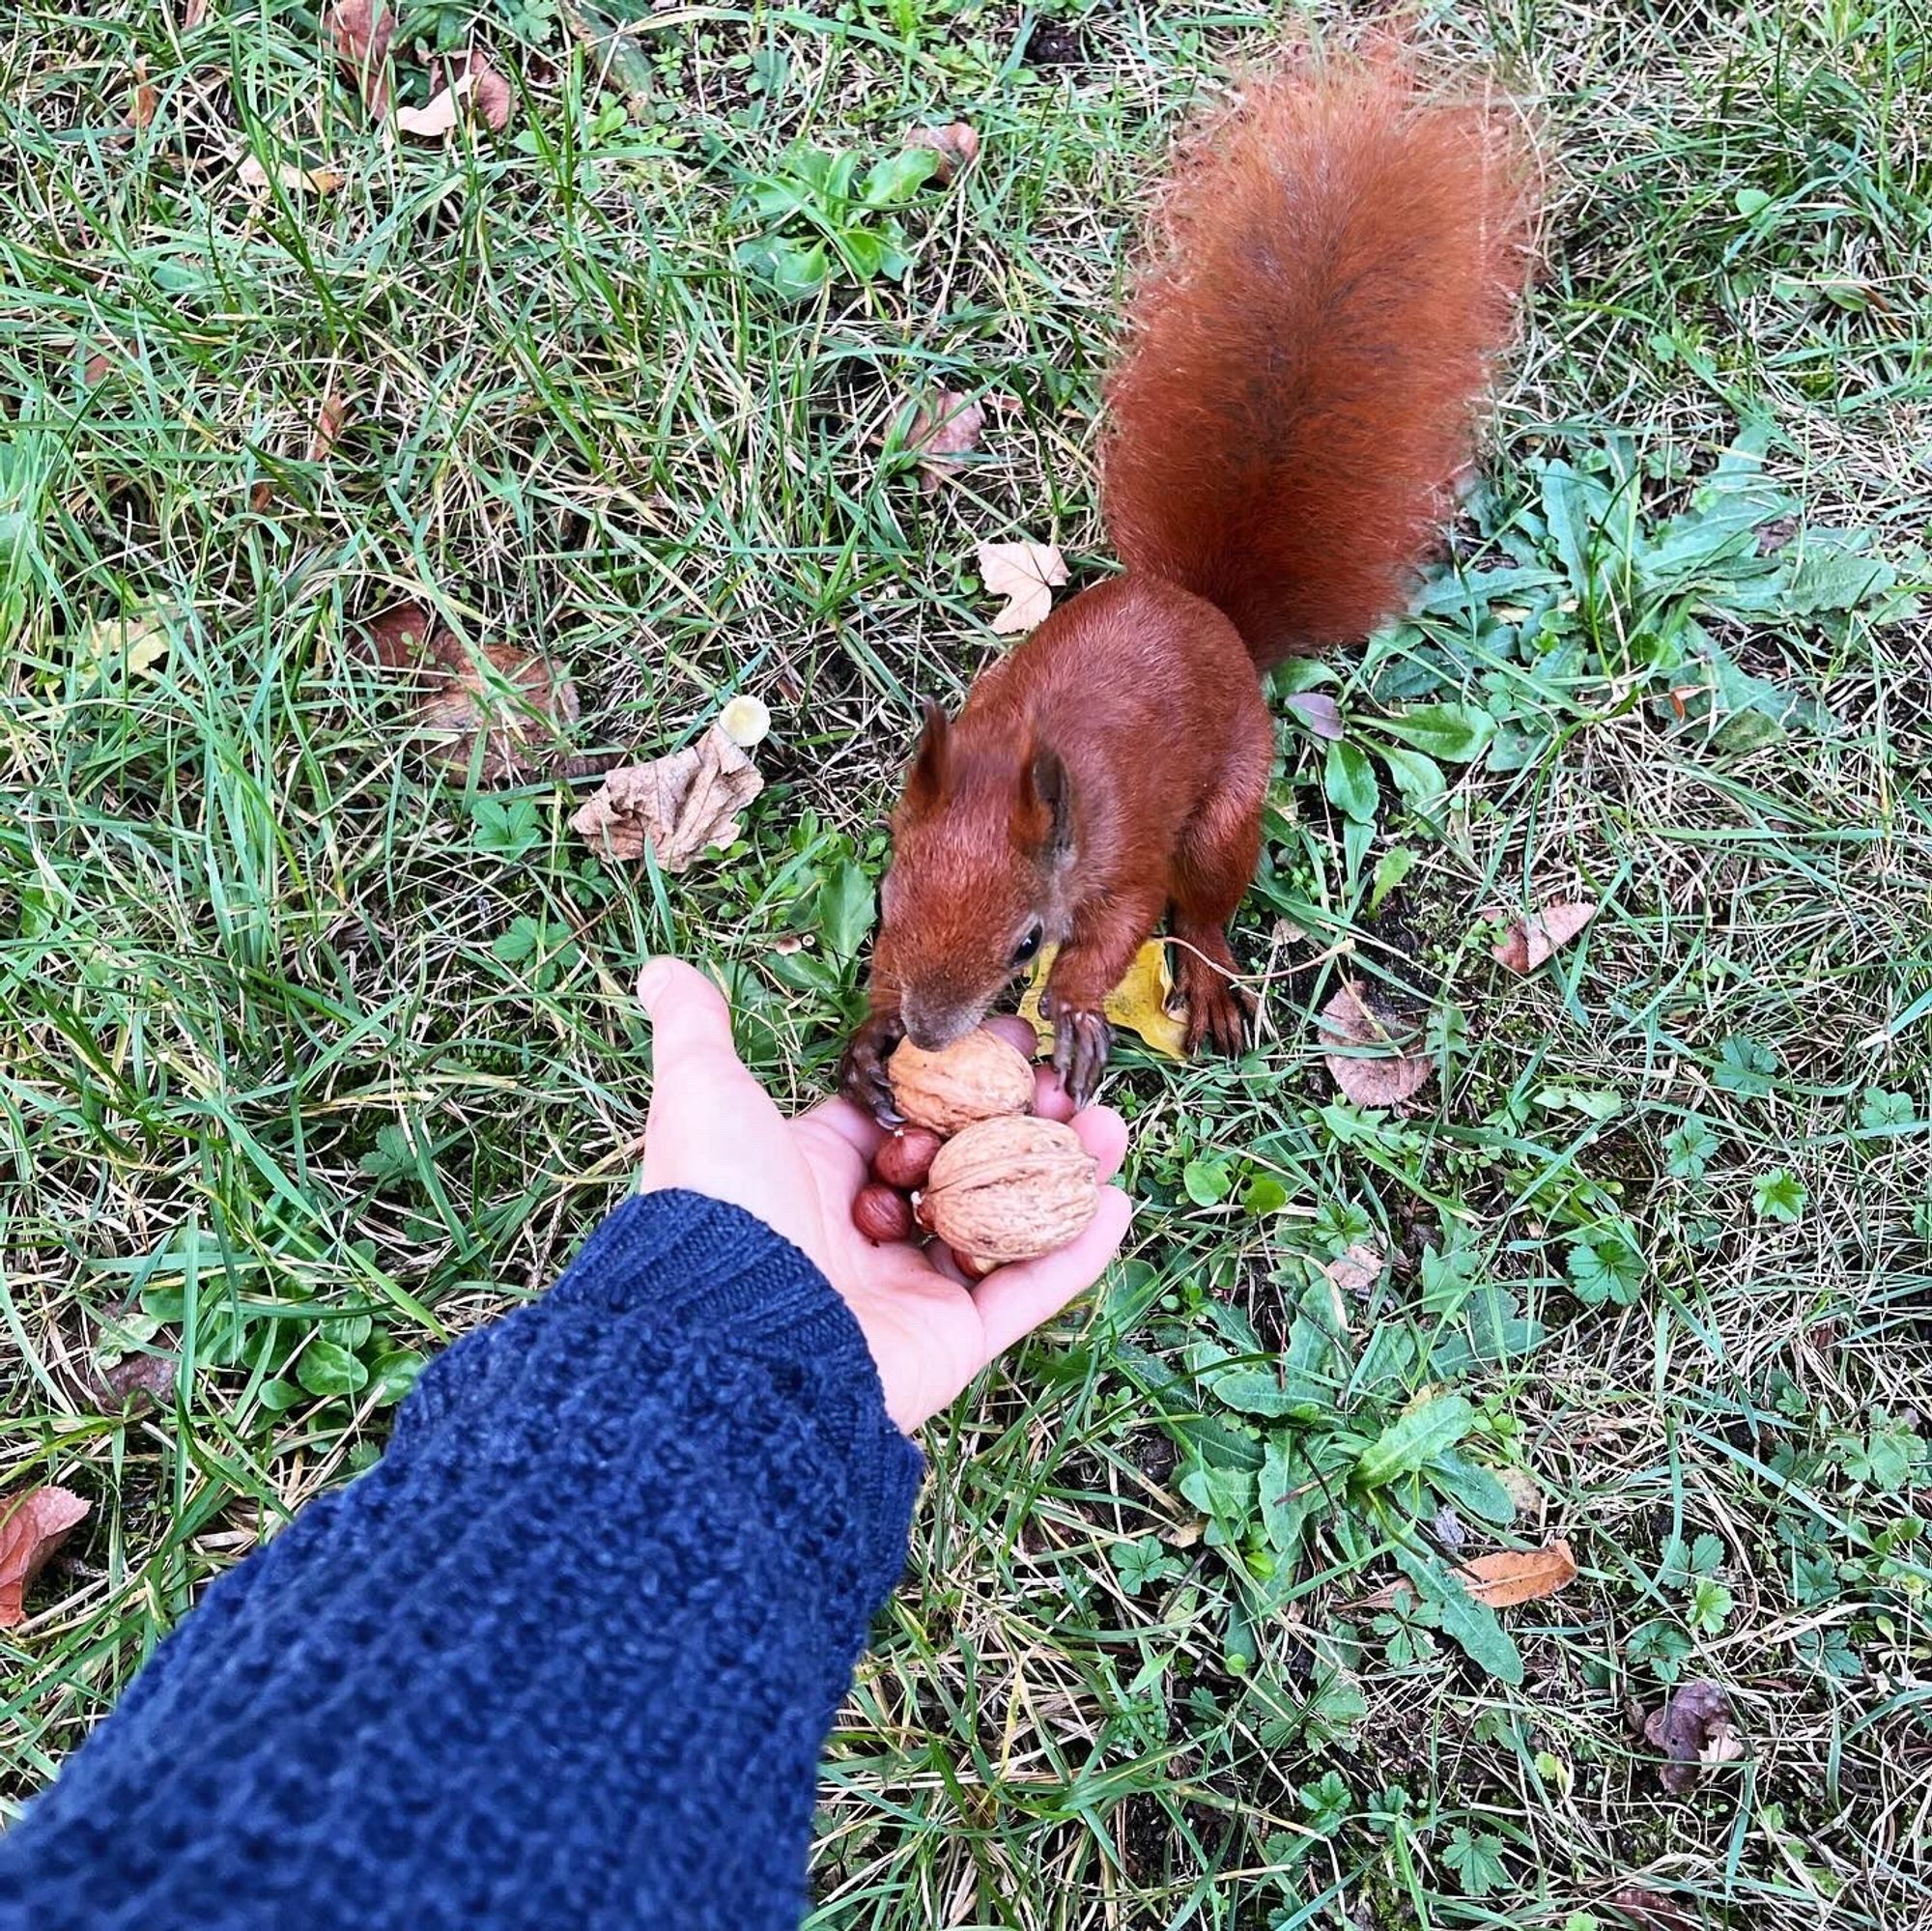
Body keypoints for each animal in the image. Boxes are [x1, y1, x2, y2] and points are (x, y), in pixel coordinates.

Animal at [838, 48, 1530, 1120]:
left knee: (1202, 909)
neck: (1023, 764)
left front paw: (1077, 1008)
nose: (928, 1033)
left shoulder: (1124, 850)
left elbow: (1124, 926)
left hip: (1225, 806)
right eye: (883, 901)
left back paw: (1206, 980)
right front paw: (869, 1037)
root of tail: (1208, 612)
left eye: (1025, 945)